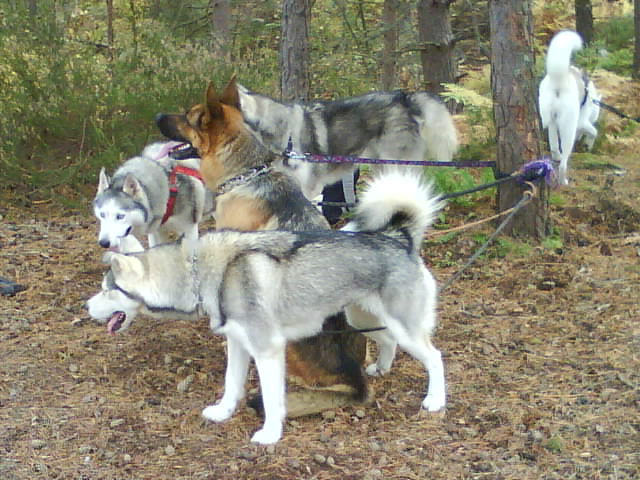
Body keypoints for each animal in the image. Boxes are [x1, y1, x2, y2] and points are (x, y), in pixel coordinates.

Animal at [87, 171, 448, 444]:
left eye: (107, 291)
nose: (86, 306)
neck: (199, 270)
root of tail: (399, 237)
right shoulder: (237, 343)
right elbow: (231, 384)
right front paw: (222, 413)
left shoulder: (268, 350)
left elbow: (273, 400)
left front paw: (270, 435)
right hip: (363, 318)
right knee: (388, 341)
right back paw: (381, 369)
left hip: (404, 328)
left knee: (435, 357)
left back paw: (435, 400)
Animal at [540, 29, 600, 185]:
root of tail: (559, 79)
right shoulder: (582, 121)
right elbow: (594, 131)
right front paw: (588, 144)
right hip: (568, 127)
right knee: (563, 163)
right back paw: (563, 181)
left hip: (550, 120)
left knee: (554, 147)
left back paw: (556, 158)